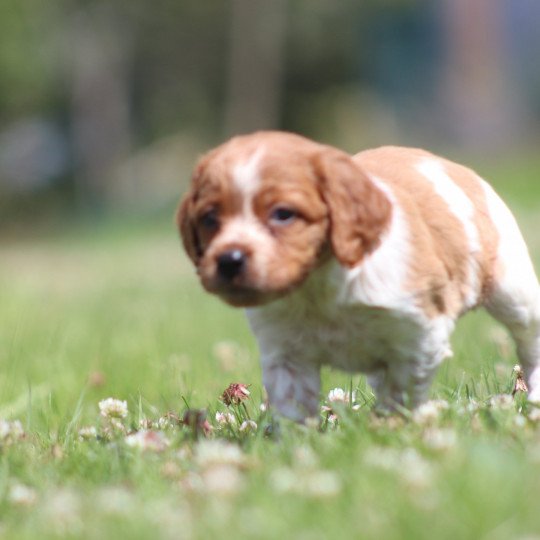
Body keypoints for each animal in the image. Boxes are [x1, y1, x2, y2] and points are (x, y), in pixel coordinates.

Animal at [177, 132, 540, 422]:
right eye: (209, 219)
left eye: (283, 214)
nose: (229, 260)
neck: (317, 287)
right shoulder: (285, 352)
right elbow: (292, 410)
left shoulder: (419, 336)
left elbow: (401, 394)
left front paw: (393, 429)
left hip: (513, 291)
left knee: (529, 339)